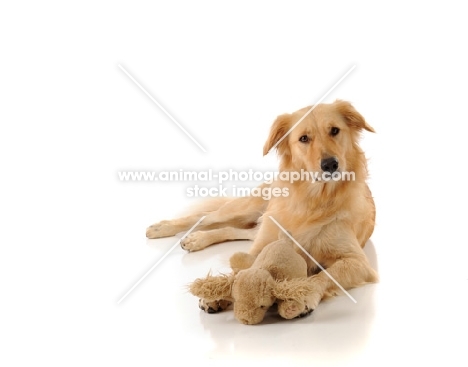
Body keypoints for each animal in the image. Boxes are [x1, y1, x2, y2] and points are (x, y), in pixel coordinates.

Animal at [148, 100, 378, 316]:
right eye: (304, 138)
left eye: (335, 131)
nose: (330, 164)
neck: (311, 199)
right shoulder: (263, 245)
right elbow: (240, 271)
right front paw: (217, 292)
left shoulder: (359, 263)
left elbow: (325, 275)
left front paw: (303, 295)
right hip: (250, 209)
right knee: (206, 216)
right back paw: (167, 229)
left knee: (232, 229)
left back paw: (196, 239)